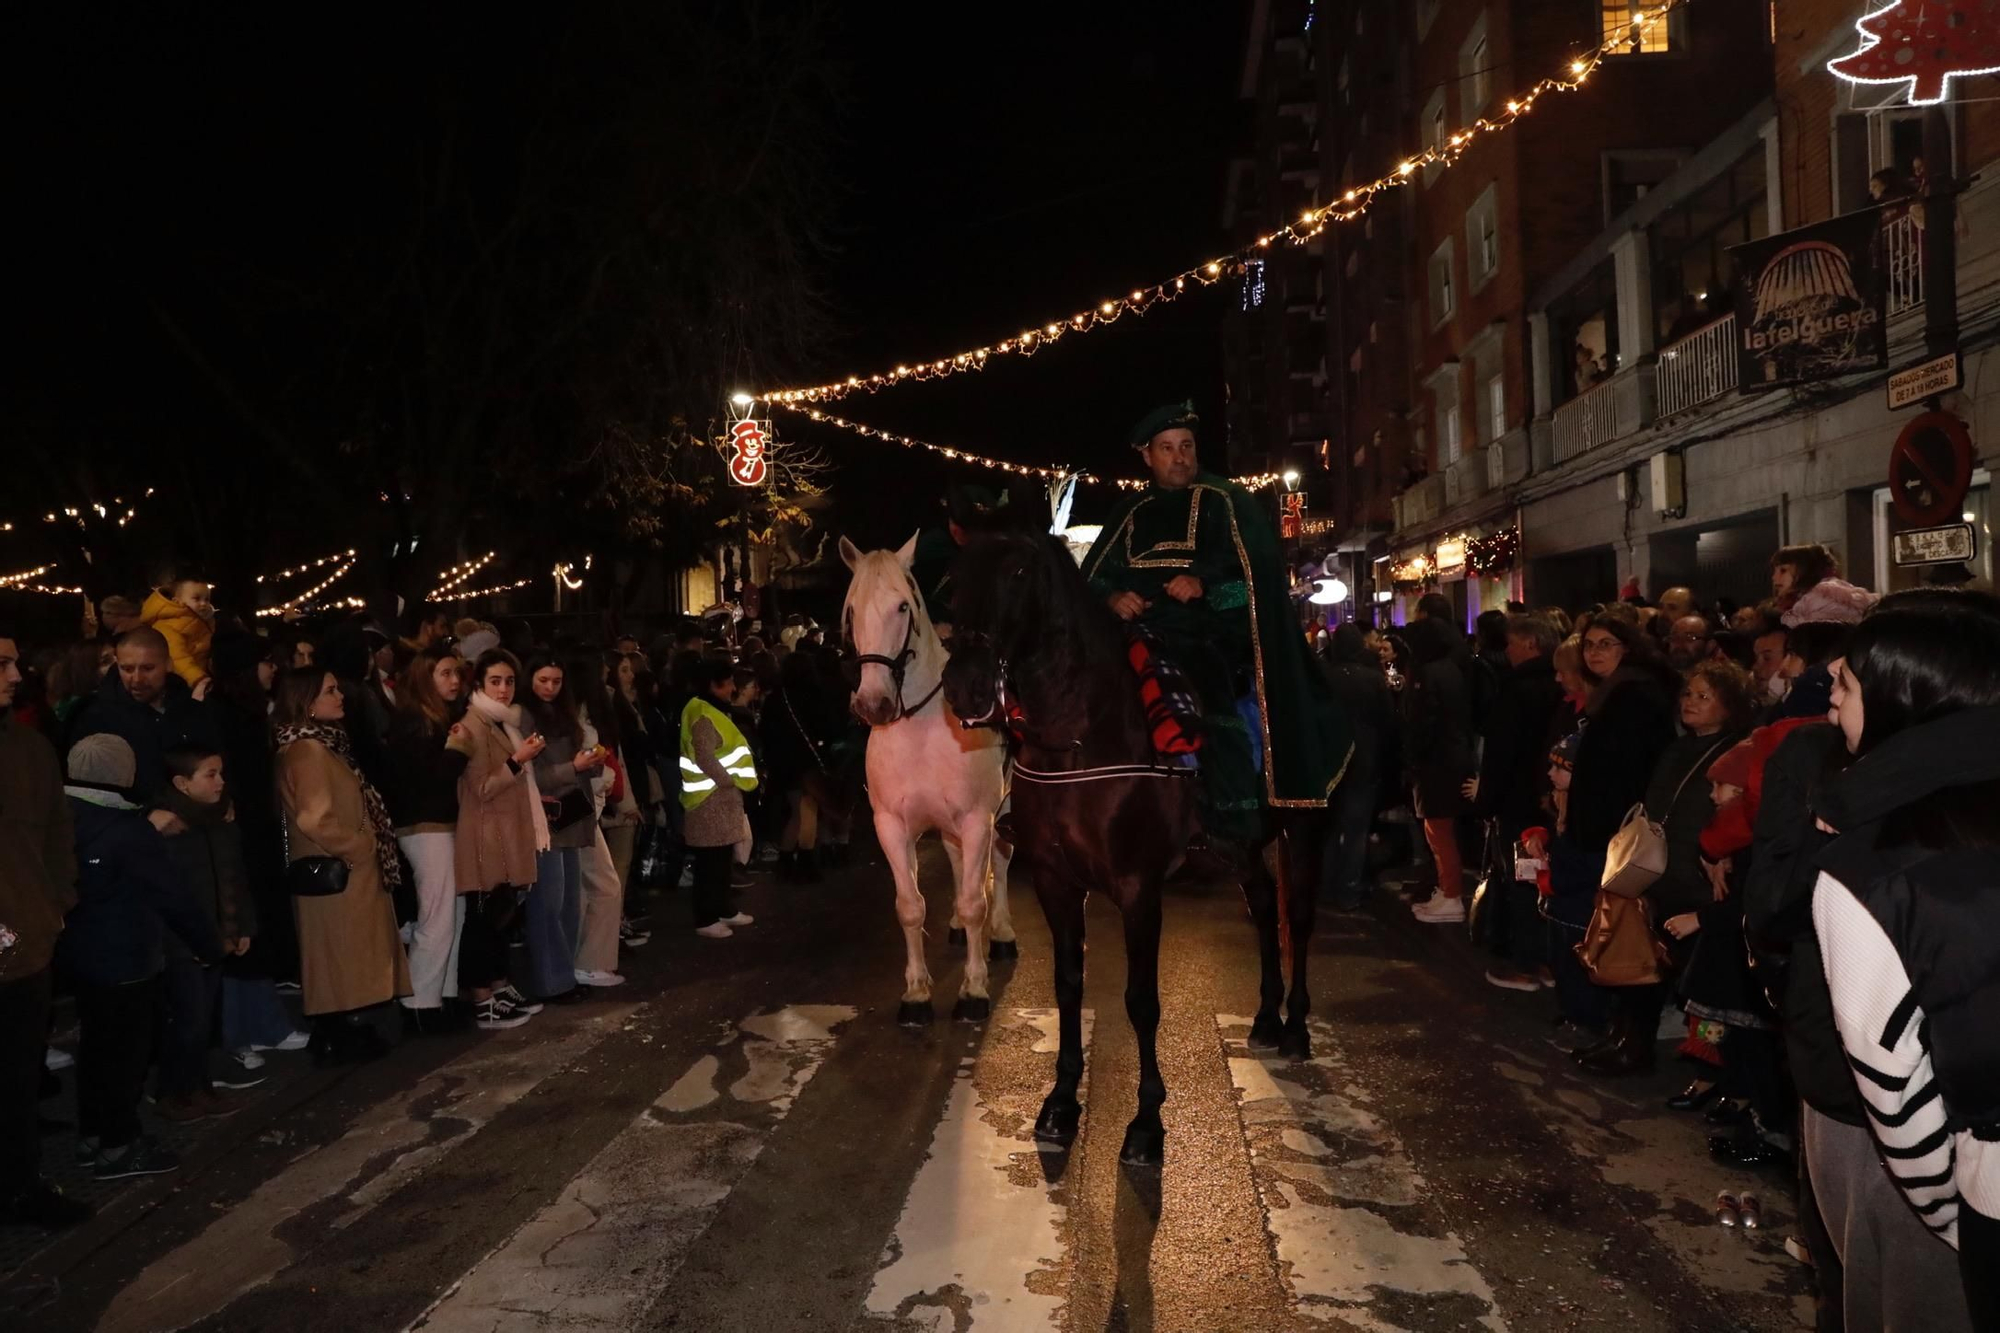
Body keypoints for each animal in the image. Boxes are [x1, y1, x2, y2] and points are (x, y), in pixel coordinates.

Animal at [836, 528, 1016, 1016]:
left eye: (903, 606)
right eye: (852, 610)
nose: (872, 704)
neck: (921, 728)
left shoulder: (977, 820)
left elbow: (975, 901)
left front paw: (974, 988)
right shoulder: (892, 826)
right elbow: (910, 906)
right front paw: (916, 991)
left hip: (1002, 811)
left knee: (1000, 861)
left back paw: (1002, 932)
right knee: (957, 864)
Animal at [940, 528, 1328, 1160]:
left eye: (1019, 571)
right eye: (956, 576)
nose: (965, 687)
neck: (1079, 740)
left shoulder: (1139, 888)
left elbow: (1141, 1002)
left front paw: (1146, 1122)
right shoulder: (1056, 882)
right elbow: (1068, 986)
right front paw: (1060, 1102)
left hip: (1307, 826)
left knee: (1298, 915)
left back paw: (1295, 1026)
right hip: (1243, 850)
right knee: (1265, 906)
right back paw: (1266, 1018)